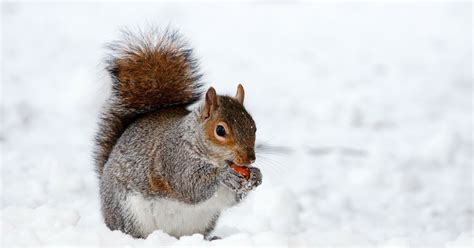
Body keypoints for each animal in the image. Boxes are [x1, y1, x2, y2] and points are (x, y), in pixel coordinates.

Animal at [94, 28, 262, 239]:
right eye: (220, 130)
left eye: (254, 126)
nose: (250, 159)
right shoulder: (174, 158)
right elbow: (189, 185)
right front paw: (224, 175)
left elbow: (232, 198)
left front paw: (256, 176)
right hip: (127, 212)